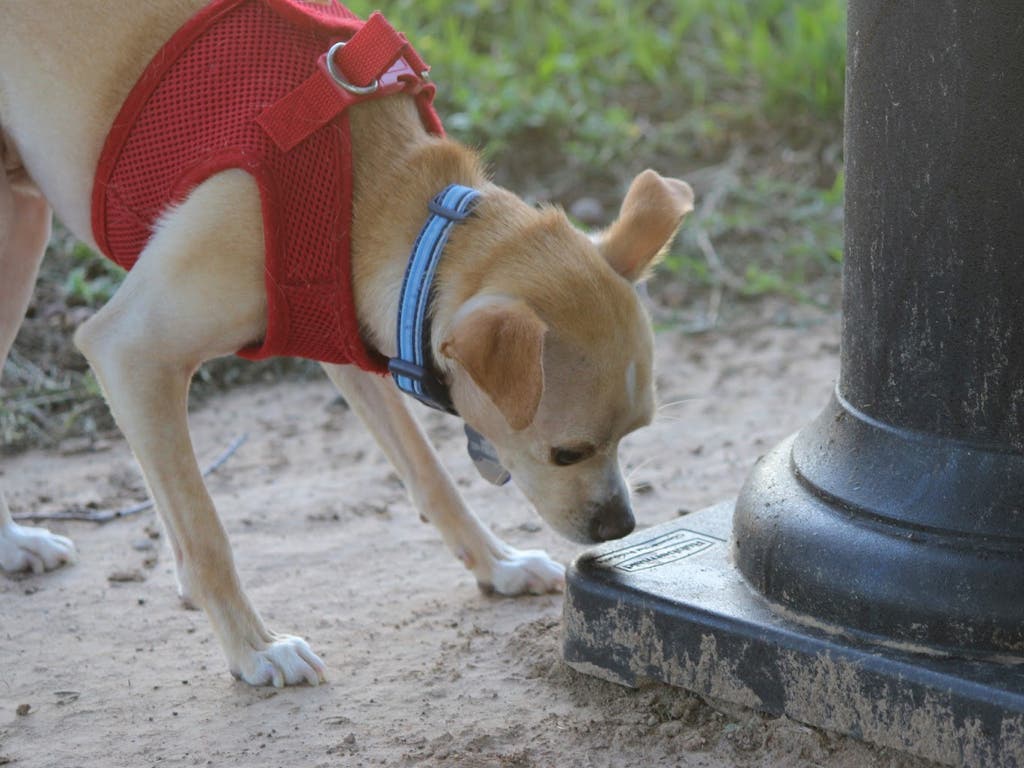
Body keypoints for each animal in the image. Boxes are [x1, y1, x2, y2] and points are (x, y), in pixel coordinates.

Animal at [0, 0, 692, 684]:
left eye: (633, 434)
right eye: (566, 453)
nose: (621, 525)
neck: (391, 200)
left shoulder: (352, 338)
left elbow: (428, 473)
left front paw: (496, 566)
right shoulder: (130, 352)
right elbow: (205, 533)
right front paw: (253, 648)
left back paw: (14, 546)